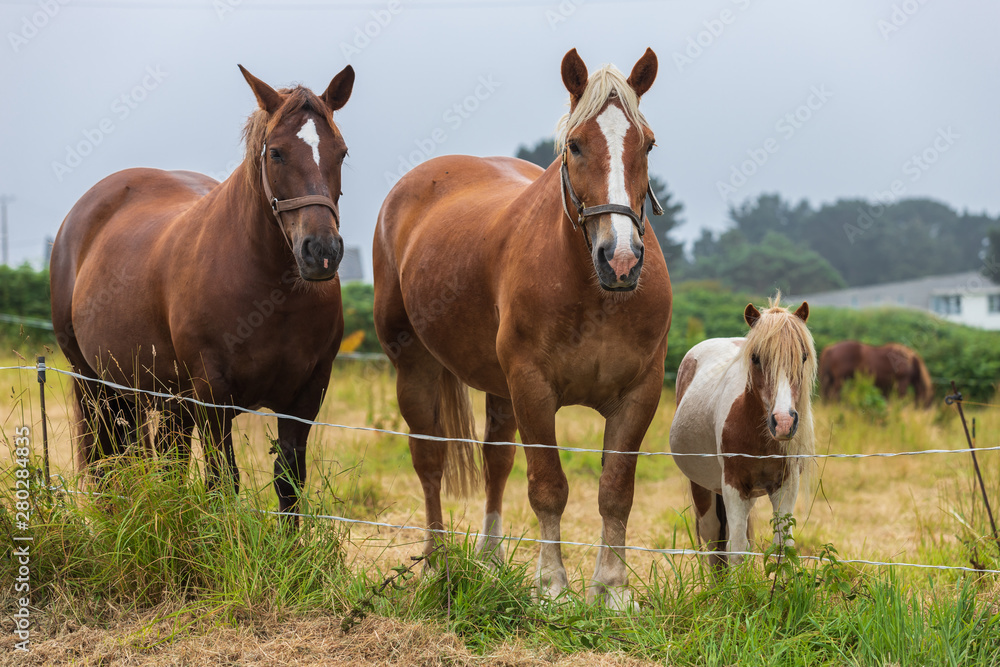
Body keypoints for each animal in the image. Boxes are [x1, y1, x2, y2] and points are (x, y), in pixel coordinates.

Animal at [50, 64, 358, 520]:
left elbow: (288, 486)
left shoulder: (305, 397)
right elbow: (222, 483)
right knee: (109, 464)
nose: (321, 252)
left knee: (165, 462)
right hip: (93, 383)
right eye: (276, 153)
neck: (271, 295)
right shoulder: (214, 397)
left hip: (162, 395)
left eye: (341, 152)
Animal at [374, 49, 672, 608]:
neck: (594, 293)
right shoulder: (533, 387)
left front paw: (613, 589)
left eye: (647, 143)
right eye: (575, 144)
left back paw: (490, 559)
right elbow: (549, 486)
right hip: (414, 367)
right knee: (429, 459)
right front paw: (552, 585)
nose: (620, 259)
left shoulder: (639, 393)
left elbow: (615, 491)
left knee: (496, 459)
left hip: (498, 386)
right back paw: (437, 560)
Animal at [668, 296, 816, 568]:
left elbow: (783, 548)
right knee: (714, 540)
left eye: (803, 356)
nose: (783, 422)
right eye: (755, 357)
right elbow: (736, 550)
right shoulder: (734, 485)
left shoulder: (785, 485)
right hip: (703, 488)